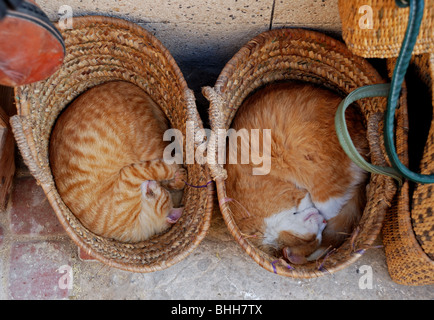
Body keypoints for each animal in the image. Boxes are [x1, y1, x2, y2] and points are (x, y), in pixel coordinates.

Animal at [50, 80, 186, 242]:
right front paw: (174, 174)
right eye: (161, 193)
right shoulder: (131, 173)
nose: (152, 183)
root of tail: (121, 82)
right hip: (149, 149)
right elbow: (161, 168)